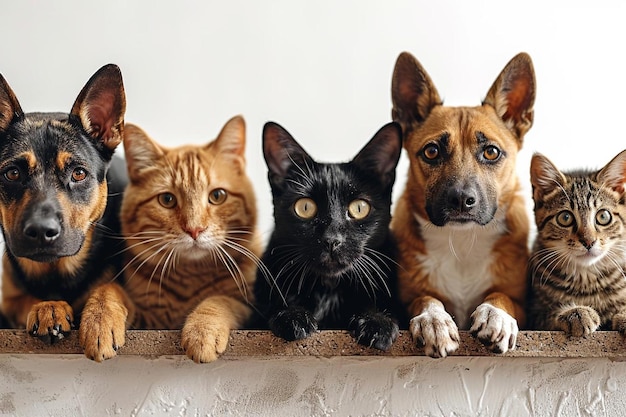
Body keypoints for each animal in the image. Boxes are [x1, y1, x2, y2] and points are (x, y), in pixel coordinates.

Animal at [0, 65, 133, 360]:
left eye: (78, 173)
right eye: (12, 173)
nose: (42, 231)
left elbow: (109, 287)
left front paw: (100, 318)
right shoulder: (7, 299)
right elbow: (24, 299)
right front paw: (49, 307)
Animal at [120, 115, 260, 362]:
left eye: (217, 196)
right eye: (167, 199)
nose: (194, 230)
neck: (190, 277)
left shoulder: (247, 306)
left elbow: (218, 300)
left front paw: (203, 330)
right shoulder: (152, 321)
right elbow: (109, 292)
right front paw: (98, 320)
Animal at [254, 121, 404, 352]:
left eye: (359, 208)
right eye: (305, 207)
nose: (332, 239)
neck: (329, 289)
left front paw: (377, 322)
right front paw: (292, 316)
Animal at [390, 52, 532, 356]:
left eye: (491, 152)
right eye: (432, 151)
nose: (461, 200)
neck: (462, 240)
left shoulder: (521, 302)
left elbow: (501, 295)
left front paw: (495, 314)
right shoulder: (407, 299)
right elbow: (426, 298)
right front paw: (433, 320)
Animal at [528, 150, 624, 334]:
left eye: (603, 216)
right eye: (565, 218)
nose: (589, 241)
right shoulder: (534, 316)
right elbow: (548, 315)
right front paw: (576, 313)